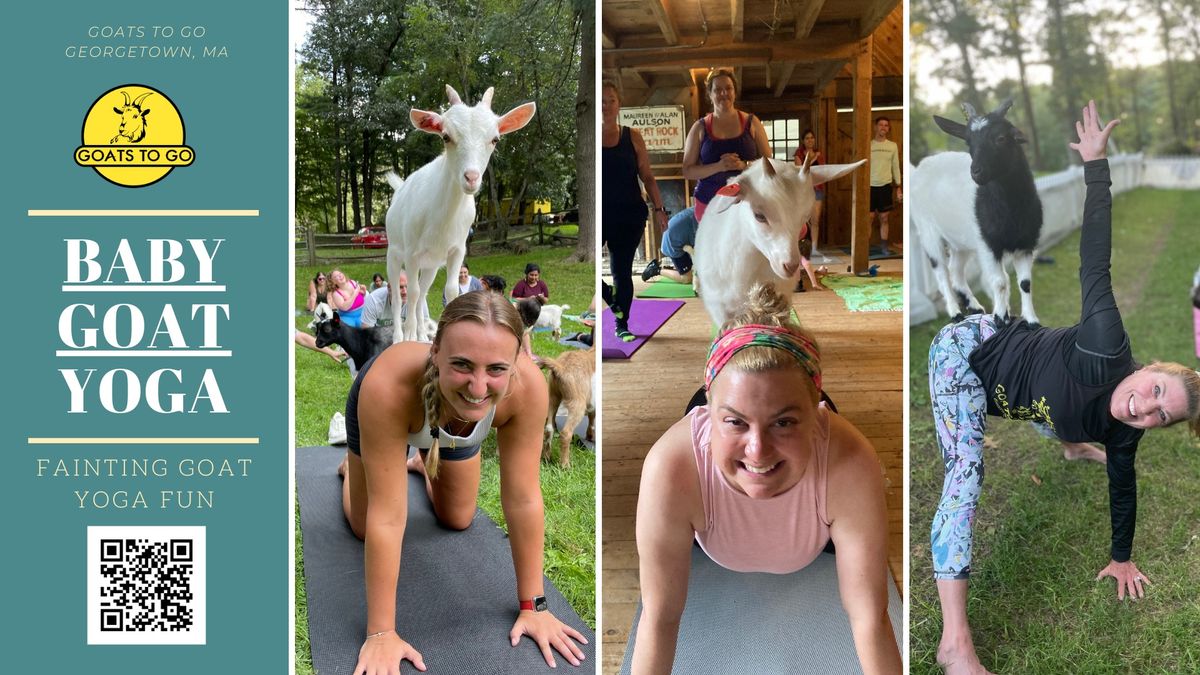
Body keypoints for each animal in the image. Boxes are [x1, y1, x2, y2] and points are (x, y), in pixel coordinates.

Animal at [386, 84, 537, 341]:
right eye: (446, 137)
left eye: (495, 139)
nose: (471, 177)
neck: (442, 217)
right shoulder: (412, 252)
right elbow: (411, 292)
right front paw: (408, 338)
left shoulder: (456, 249)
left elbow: (451, 290)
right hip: (394, 253)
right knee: (399, 296)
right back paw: (400, 336)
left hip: (431, 263)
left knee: (422, 295)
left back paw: (422, 335)